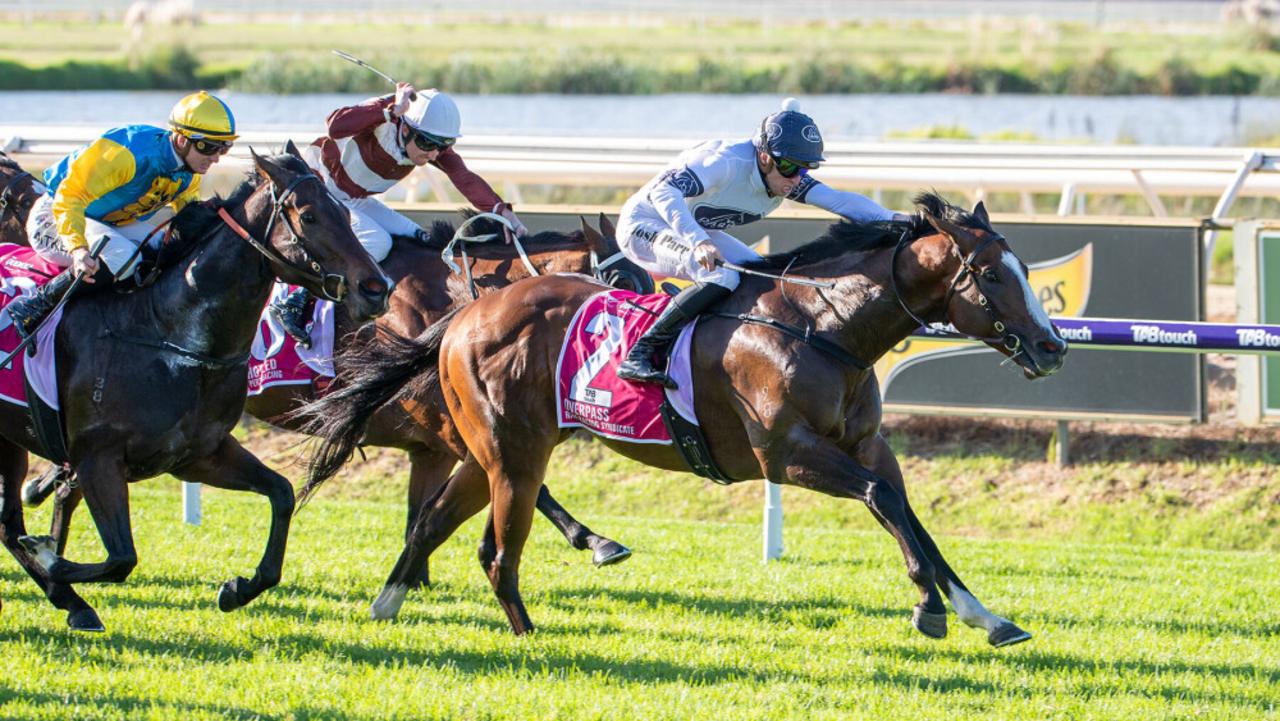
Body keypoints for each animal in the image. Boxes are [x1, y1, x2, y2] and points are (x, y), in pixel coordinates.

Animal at [0, 144, 389, 630]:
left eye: (345, 211)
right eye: (309, 215)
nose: (375, 288)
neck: (168, 335)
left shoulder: (198, 454)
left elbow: (281, 494)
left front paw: (239, 588)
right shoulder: (97, 458)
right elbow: (121, 557)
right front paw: (49, 555)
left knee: (8, 525)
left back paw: (71, 601)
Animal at [302, 190, 1070, 642]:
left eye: (1024, 270)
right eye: (992, 275)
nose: (1052, 347)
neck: (822, 327)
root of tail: (466, 314)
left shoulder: (866, 443)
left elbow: (909, 512)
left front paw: (984, 614)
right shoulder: (785, 455)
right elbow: (884, 500)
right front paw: (930, 609)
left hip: (488, 451)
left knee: (434, 522)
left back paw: (387, 605)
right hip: (513, 455)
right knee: (495, 549)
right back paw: (527, 631)